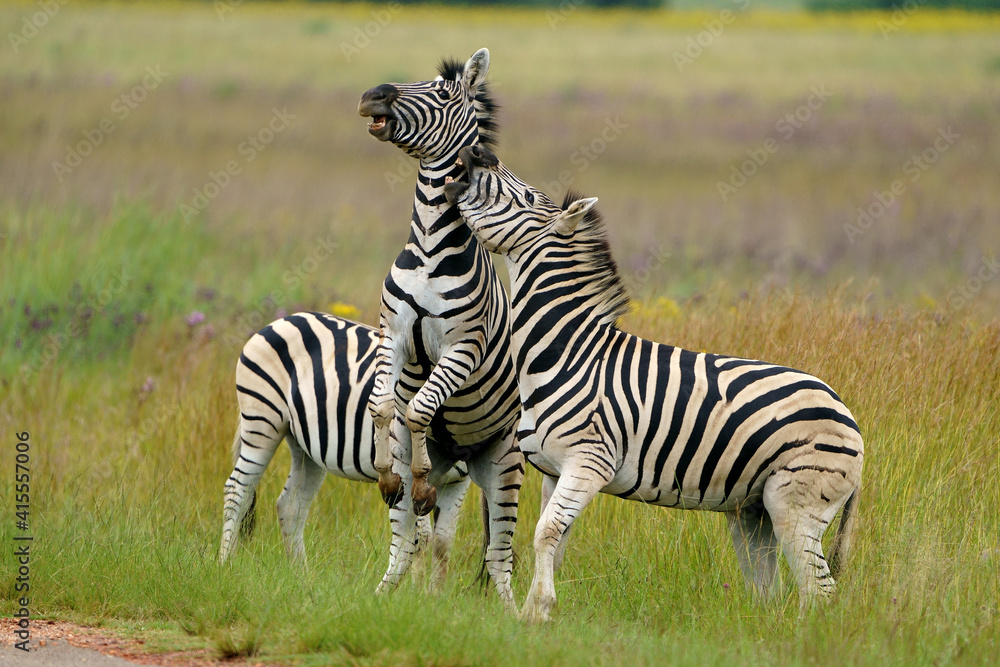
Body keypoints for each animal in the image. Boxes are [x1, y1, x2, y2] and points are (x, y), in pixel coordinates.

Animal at [219, 311, 472, 591]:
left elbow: (442, 545)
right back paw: (224, 565)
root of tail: (282, 320)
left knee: (289, 506)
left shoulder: (459, 482)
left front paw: (430, 596)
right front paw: (413, 593)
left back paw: (302, 577)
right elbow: (422, 538)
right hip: (262, 419)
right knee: (237, 489)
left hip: (305, 447)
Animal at [357, 48, 524, 609]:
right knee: (418, 538)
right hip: (456, 469)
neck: (431, 247)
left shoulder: (462, 347)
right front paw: (389, 475)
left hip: (504, 464)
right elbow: (385, 406)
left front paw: (419, 478)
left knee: (497, 554)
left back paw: (513, 615)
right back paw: (395, 594)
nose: (372, 95)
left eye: (444, 93)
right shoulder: (392, 332)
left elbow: (421, 407)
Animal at [445, 145, 864, 621]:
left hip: (795, 503)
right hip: (752, 509)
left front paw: (539, 610)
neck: (566, 352)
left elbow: (544, 533)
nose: (476, 152)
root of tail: (848, 415)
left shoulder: (589, 462)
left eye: (528, 197)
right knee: (770, 591)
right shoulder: (555, 469)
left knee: (819, 592)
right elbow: (551, 538)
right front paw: (538, 615)